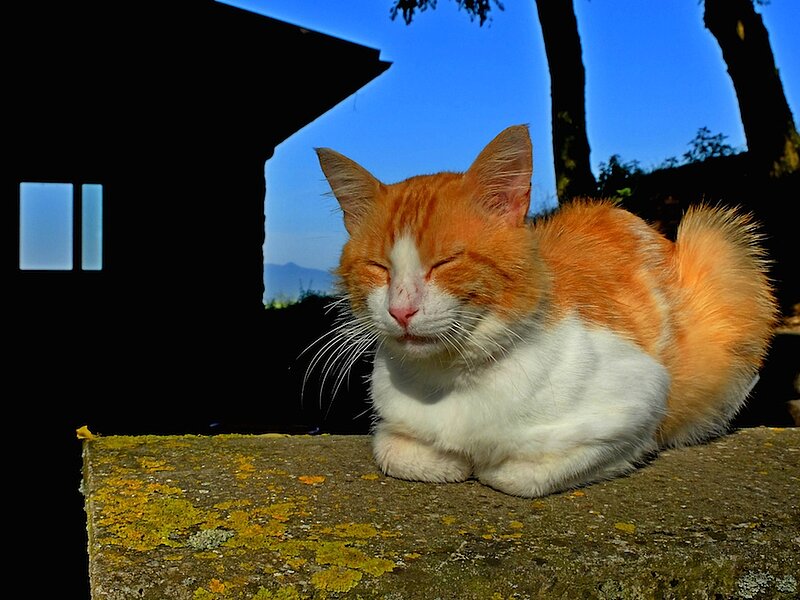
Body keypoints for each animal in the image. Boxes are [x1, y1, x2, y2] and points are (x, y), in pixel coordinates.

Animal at [313, 124, 778, 498]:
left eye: (445, 262)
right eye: (377, 267)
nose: (401, 310)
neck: (453, 381)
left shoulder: (642, 402)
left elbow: (520, 474)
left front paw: (486, 465)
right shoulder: (392, 426)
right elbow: (392, 450)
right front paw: (447, 461)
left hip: (716, 244)